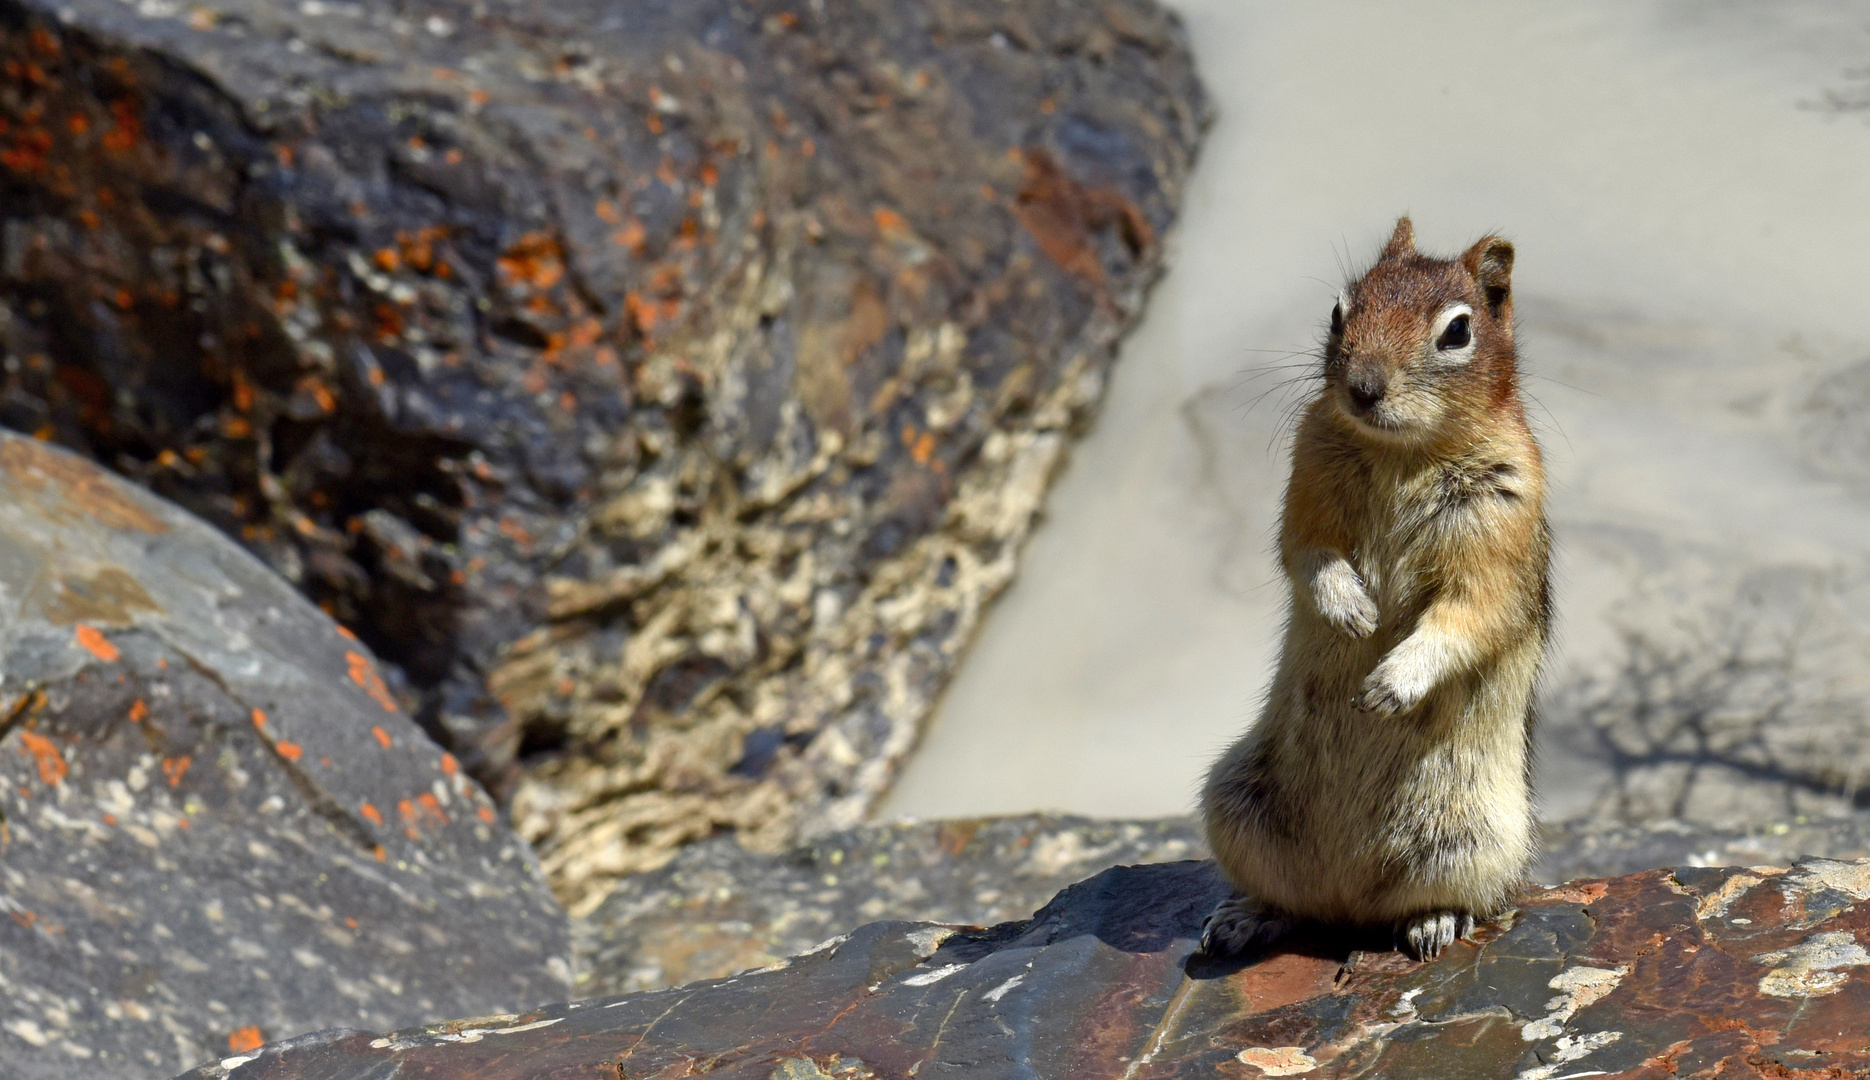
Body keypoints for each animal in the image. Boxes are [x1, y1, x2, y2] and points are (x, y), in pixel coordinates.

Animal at [1196, 218, 1548, 956]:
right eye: (1339, 311)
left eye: (1457, 331)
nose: (1361, 387)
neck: (1402, 454)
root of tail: (1347, 904)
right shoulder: (1307, 479)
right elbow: (1306, 553)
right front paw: (1351, 609)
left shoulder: (1501, 526)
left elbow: (1469, 614)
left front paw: (1389, 685)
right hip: (1234, 799)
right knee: (1291, 899)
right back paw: (1246, 916)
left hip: (1477, 837)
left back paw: (1433, 922)